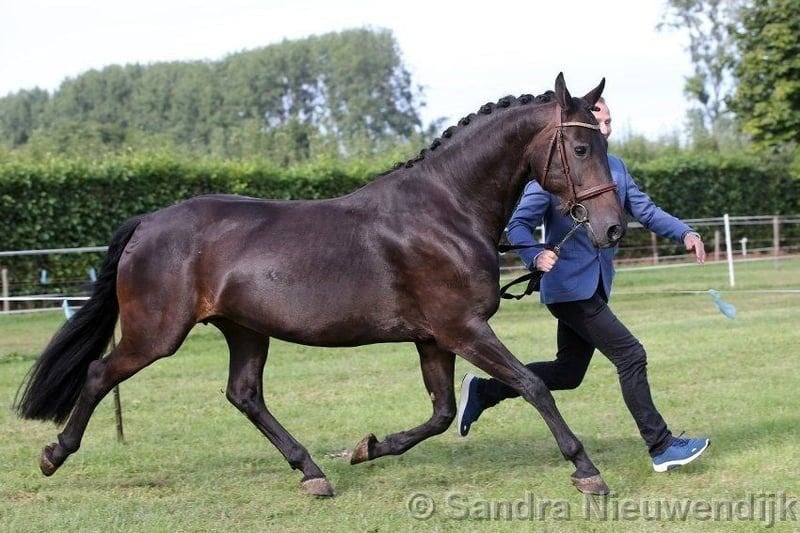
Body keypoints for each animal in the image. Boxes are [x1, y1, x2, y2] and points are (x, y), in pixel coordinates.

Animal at [16, 73, 626, 497]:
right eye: (580, 149)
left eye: (600, 146)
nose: (613, 229)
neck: (445, 211)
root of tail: (146, 223)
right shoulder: (463, 329)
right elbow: (532, 385)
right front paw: (586, 469)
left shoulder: (433, 338)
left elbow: (442, 412)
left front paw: (368, 448)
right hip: (157, 334)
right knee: (100, 374)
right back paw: (53, 453)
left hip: (244, 330)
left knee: (245, 395)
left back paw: (311, 472)